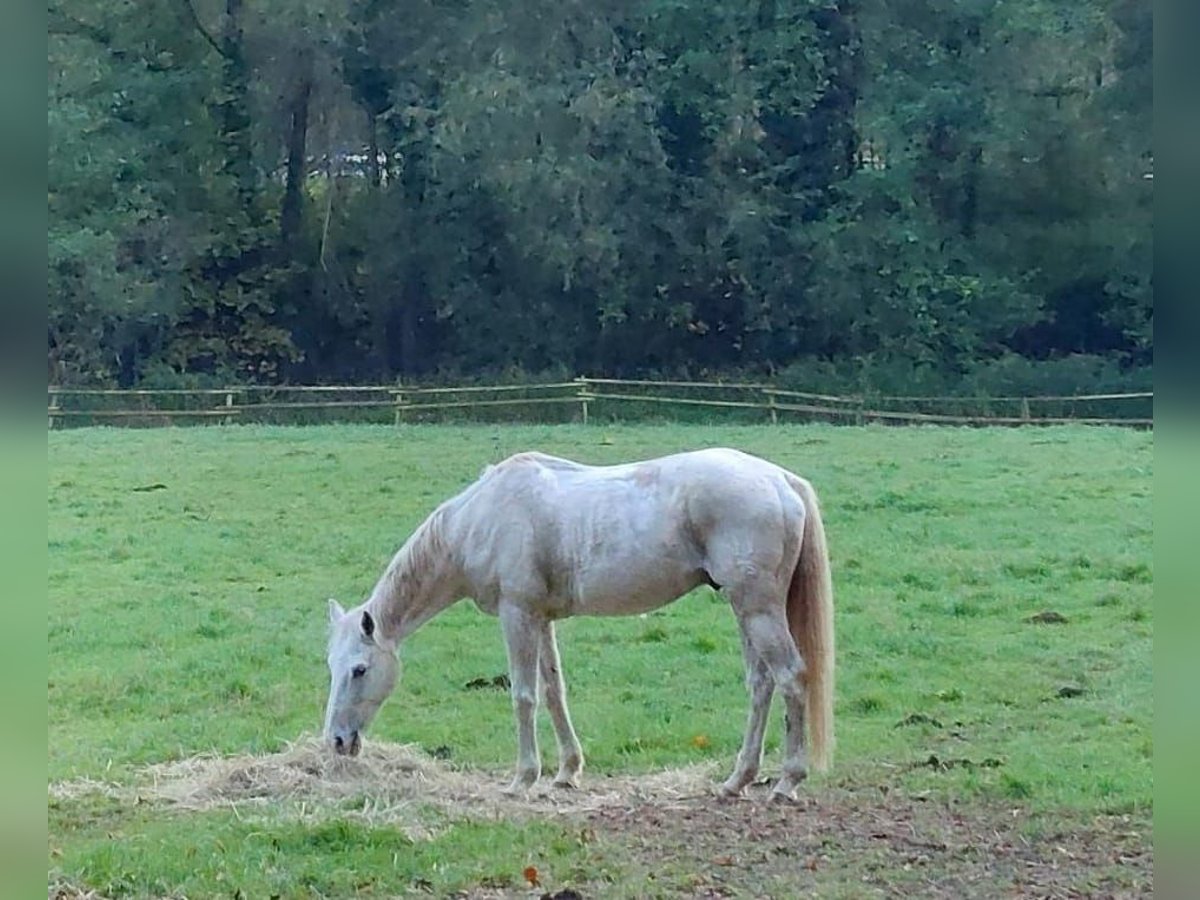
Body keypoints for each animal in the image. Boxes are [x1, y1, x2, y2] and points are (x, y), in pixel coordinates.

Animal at [324, 448, 840, 801]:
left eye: (359, 669)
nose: (336, 741)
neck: (478, 521)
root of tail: (780, 481)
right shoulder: (541, 619)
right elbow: (554, 691)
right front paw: (567, 771)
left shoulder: (517, 615)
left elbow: (524, 696)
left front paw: (522, 779)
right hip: (746, 610)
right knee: (761, 685)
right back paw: (737, 781)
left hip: (758, 609)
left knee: (791, 677)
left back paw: (787, 782)